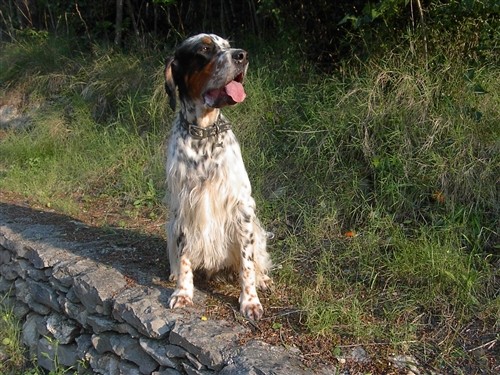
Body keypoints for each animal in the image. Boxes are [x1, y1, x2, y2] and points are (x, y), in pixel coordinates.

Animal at [164, 34, 274, 320]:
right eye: (204, 48)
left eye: (227, 44)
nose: (242, 55)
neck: (203, 132)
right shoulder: (183, 206)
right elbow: (184, 256)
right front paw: (183, 292)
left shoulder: (241, 207)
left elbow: (247, 264)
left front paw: (250, 301)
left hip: (256, 228)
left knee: (257, 260)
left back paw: (263, 279)